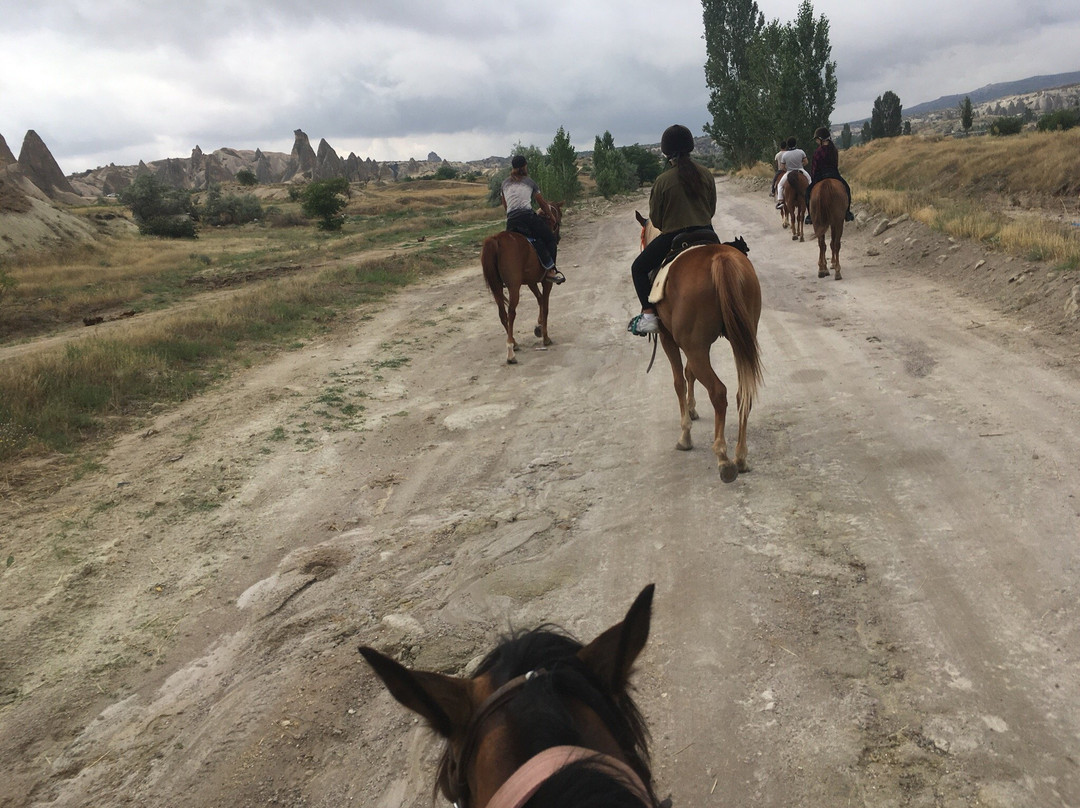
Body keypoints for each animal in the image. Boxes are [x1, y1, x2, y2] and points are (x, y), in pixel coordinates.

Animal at [483, 203, 565, 365]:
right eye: (558, 215)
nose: (557, 237)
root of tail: (496, 239)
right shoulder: (546, 282)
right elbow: (545, 306)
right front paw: (545, 337)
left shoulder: (531, 281)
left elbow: (539, 299)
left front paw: (538, 326)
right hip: (514, 287)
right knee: (511, 312)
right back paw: (510, 352)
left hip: (497, 287)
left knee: (502, 314)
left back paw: (514, 343)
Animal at [630, 211, 760, 483]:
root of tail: (720, 259)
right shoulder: (696, 345)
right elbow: (689, 373)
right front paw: (691, 409)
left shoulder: (670, 339)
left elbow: (679, 380)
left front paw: (685, 434)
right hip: (739, 339)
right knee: (743, 393)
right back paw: (741, 457)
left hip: (694, 345)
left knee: (718, 392)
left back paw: (723, 458)